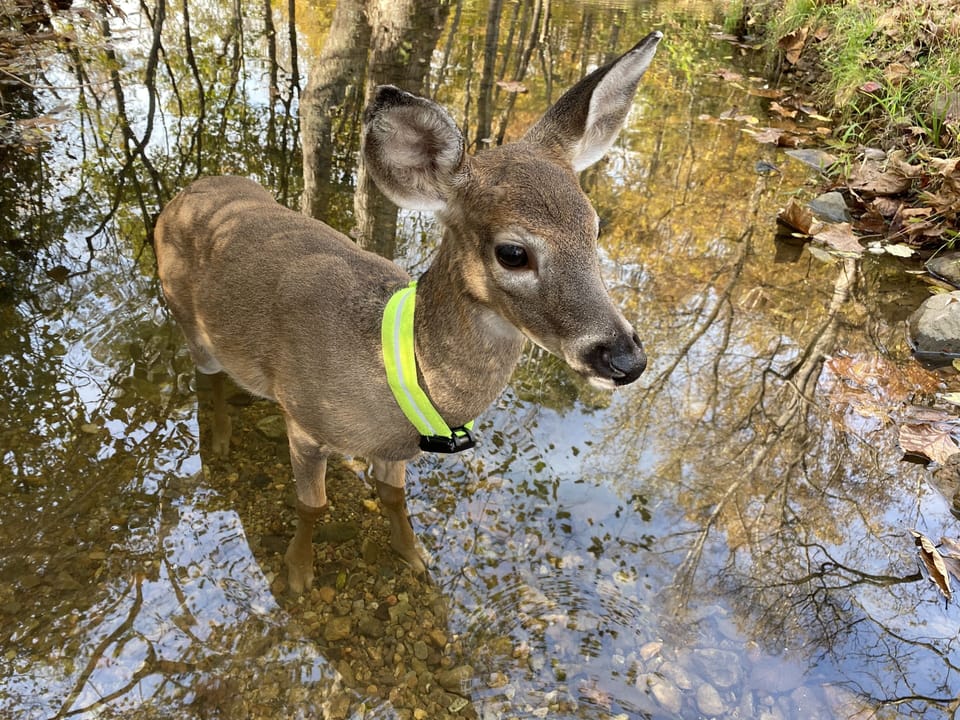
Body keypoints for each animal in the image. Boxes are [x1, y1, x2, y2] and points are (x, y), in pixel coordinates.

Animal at [154, 31, 662, 594]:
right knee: (206, 379)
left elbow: (395, 500)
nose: (624, 358)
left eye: (595, 227)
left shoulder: (395, 452)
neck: (394, 375)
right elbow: (312, 507)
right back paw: (221, 441)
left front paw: (415, 557)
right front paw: (299, 573)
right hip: (183, 312)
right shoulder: (304, 421)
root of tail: (181, 196)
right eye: (512, 253)